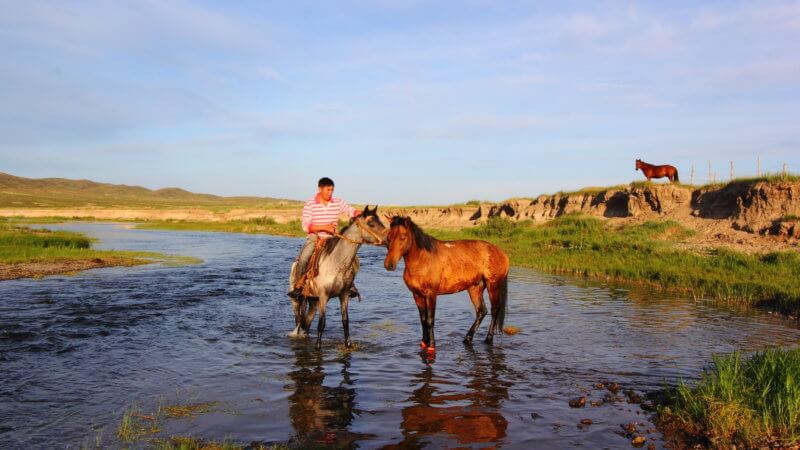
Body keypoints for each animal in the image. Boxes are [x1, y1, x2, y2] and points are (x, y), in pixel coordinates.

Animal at [288, 205, 387, 350]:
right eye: (371, 224)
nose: (388, 238)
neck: (336, 263)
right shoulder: (323, 296)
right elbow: (321, 324)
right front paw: (317, 347)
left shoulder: (344, 295)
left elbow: (345, 321)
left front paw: (348, 344)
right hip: (297, 301)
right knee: (299, 320)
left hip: (313, 301)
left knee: (306, 322)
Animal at [383, 216, 509, 353]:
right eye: (389, 236)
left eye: (403, 236)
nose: (389, 264)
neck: (423, 260)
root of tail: (501, 252)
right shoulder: (417, 295)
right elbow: (423, 320)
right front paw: (424, 343)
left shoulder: (431, 294)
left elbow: (430, 320)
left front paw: (431, 345)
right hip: (475, 288)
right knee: (481, 311)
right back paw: (467, 339)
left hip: (493, 285)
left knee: (495, 310)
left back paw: (488, 339)